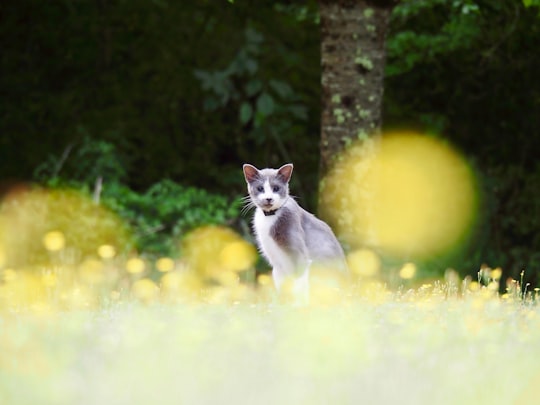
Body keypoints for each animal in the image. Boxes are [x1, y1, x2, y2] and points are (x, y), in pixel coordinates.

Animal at [243, 163, 348, 298]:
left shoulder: (298, 253)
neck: (270, 216)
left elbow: (299, 283)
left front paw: (298, 303)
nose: (268, 198)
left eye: (276, 188)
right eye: (260, 188)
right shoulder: (277, 265)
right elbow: (282, 286)